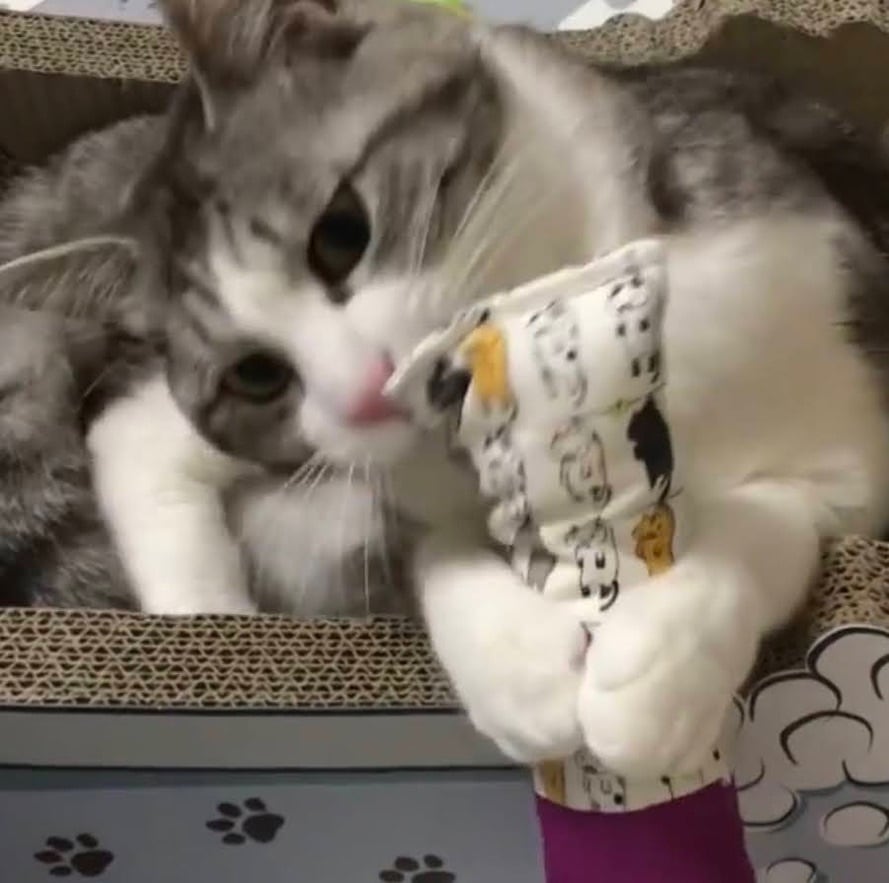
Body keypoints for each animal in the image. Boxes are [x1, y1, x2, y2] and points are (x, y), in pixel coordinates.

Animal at [6, 0, 889, 783]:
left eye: (340, 234)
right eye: (255, 374)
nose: (367, 393)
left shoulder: (834, 386)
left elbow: (777, 514)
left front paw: (661, 668)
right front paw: (514, 666)